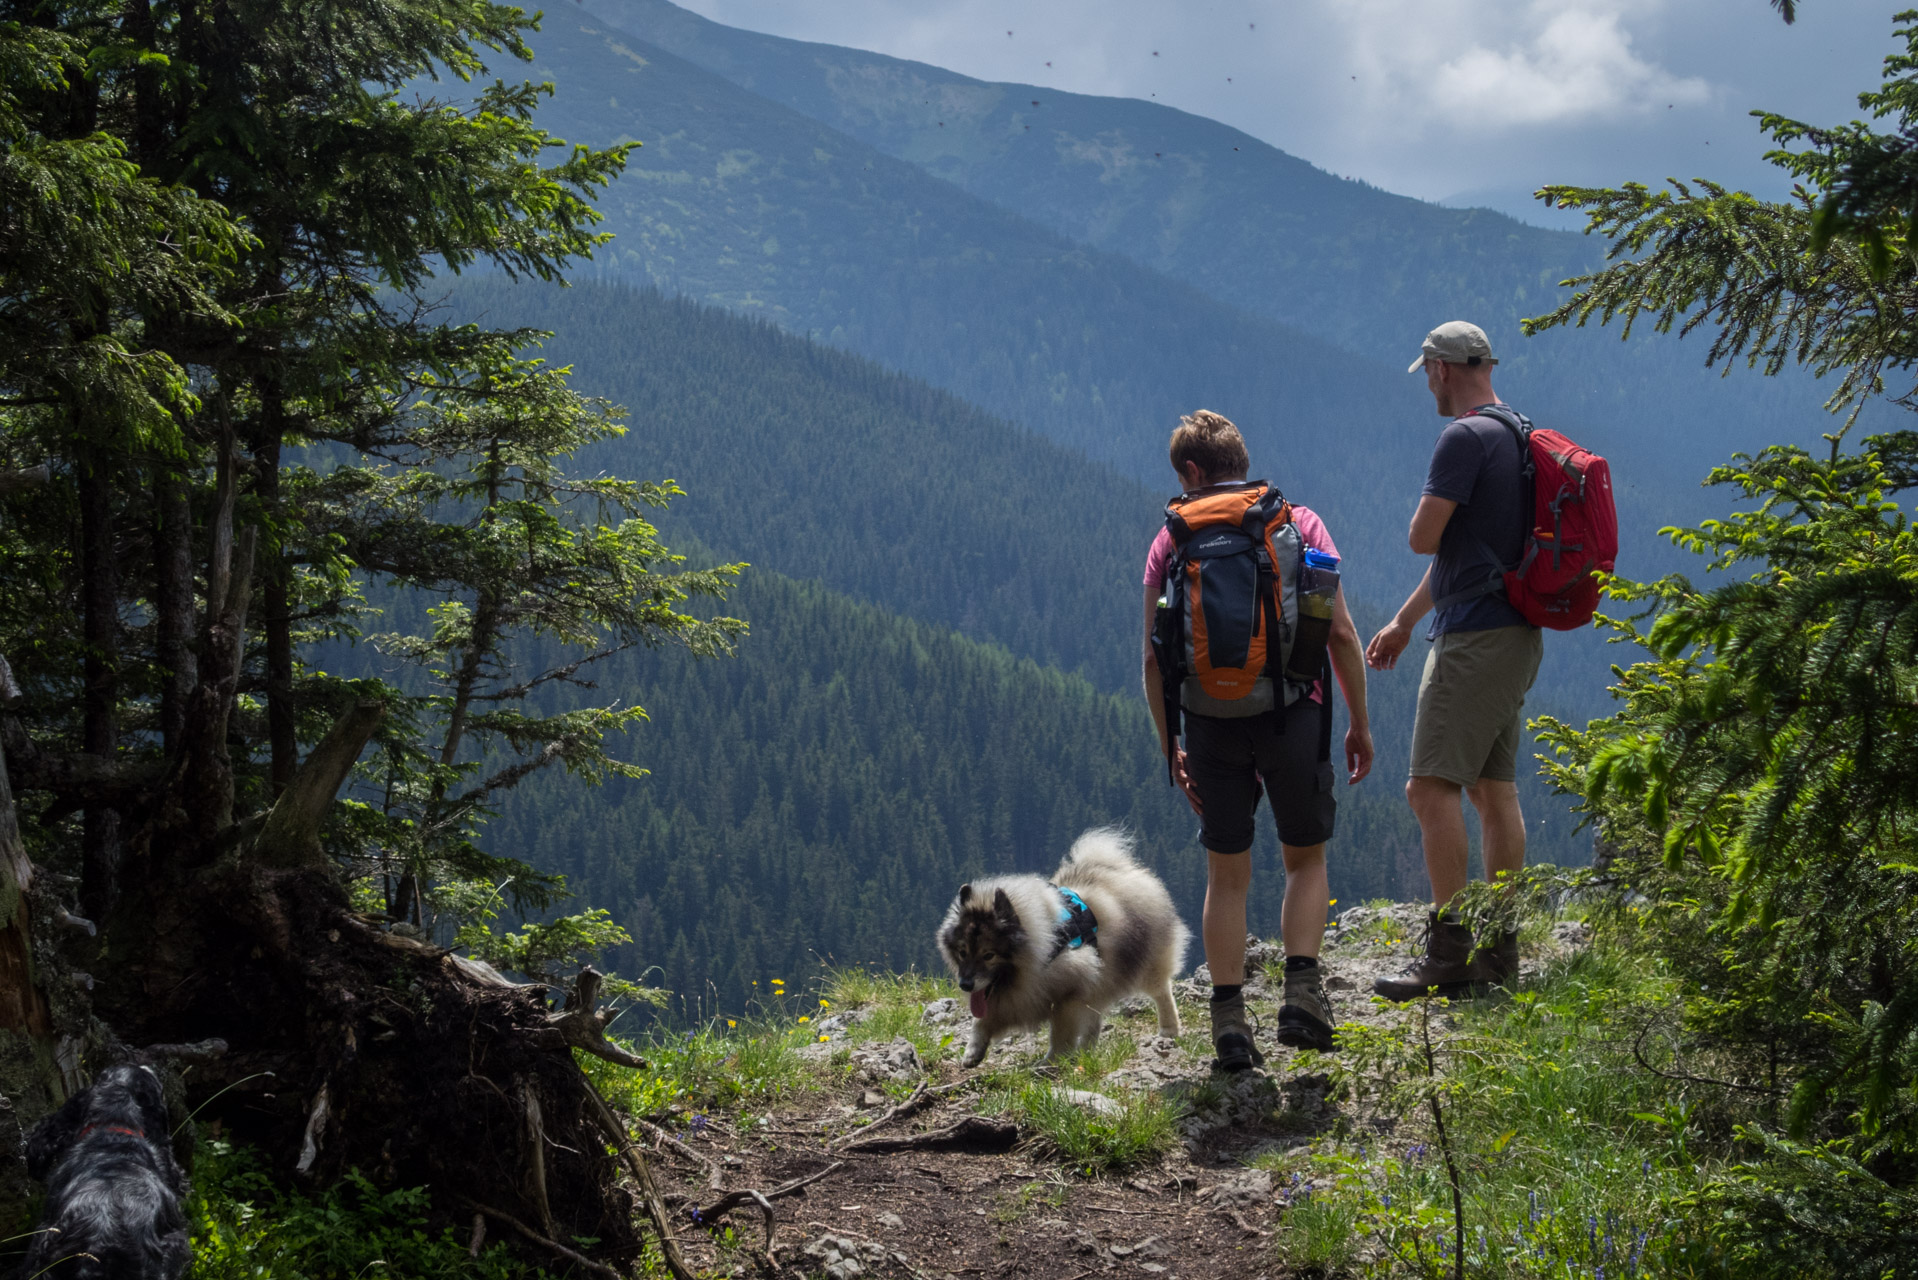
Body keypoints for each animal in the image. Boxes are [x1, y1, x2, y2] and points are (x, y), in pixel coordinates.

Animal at [939, 825, 1189, 1066]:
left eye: (989, 955)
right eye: (962, 952)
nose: (965, 984)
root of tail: (1121, 868)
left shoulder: (1067, 996)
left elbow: (1059, 1034)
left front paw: (1052, 1061)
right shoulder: (1016, 998)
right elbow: (980, 1022)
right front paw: (973, 1052)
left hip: (1144, 966)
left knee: (1162, 991)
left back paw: (1169, 1029)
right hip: (1102, 978)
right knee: (1095, 1019)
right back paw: (1086, 1051)